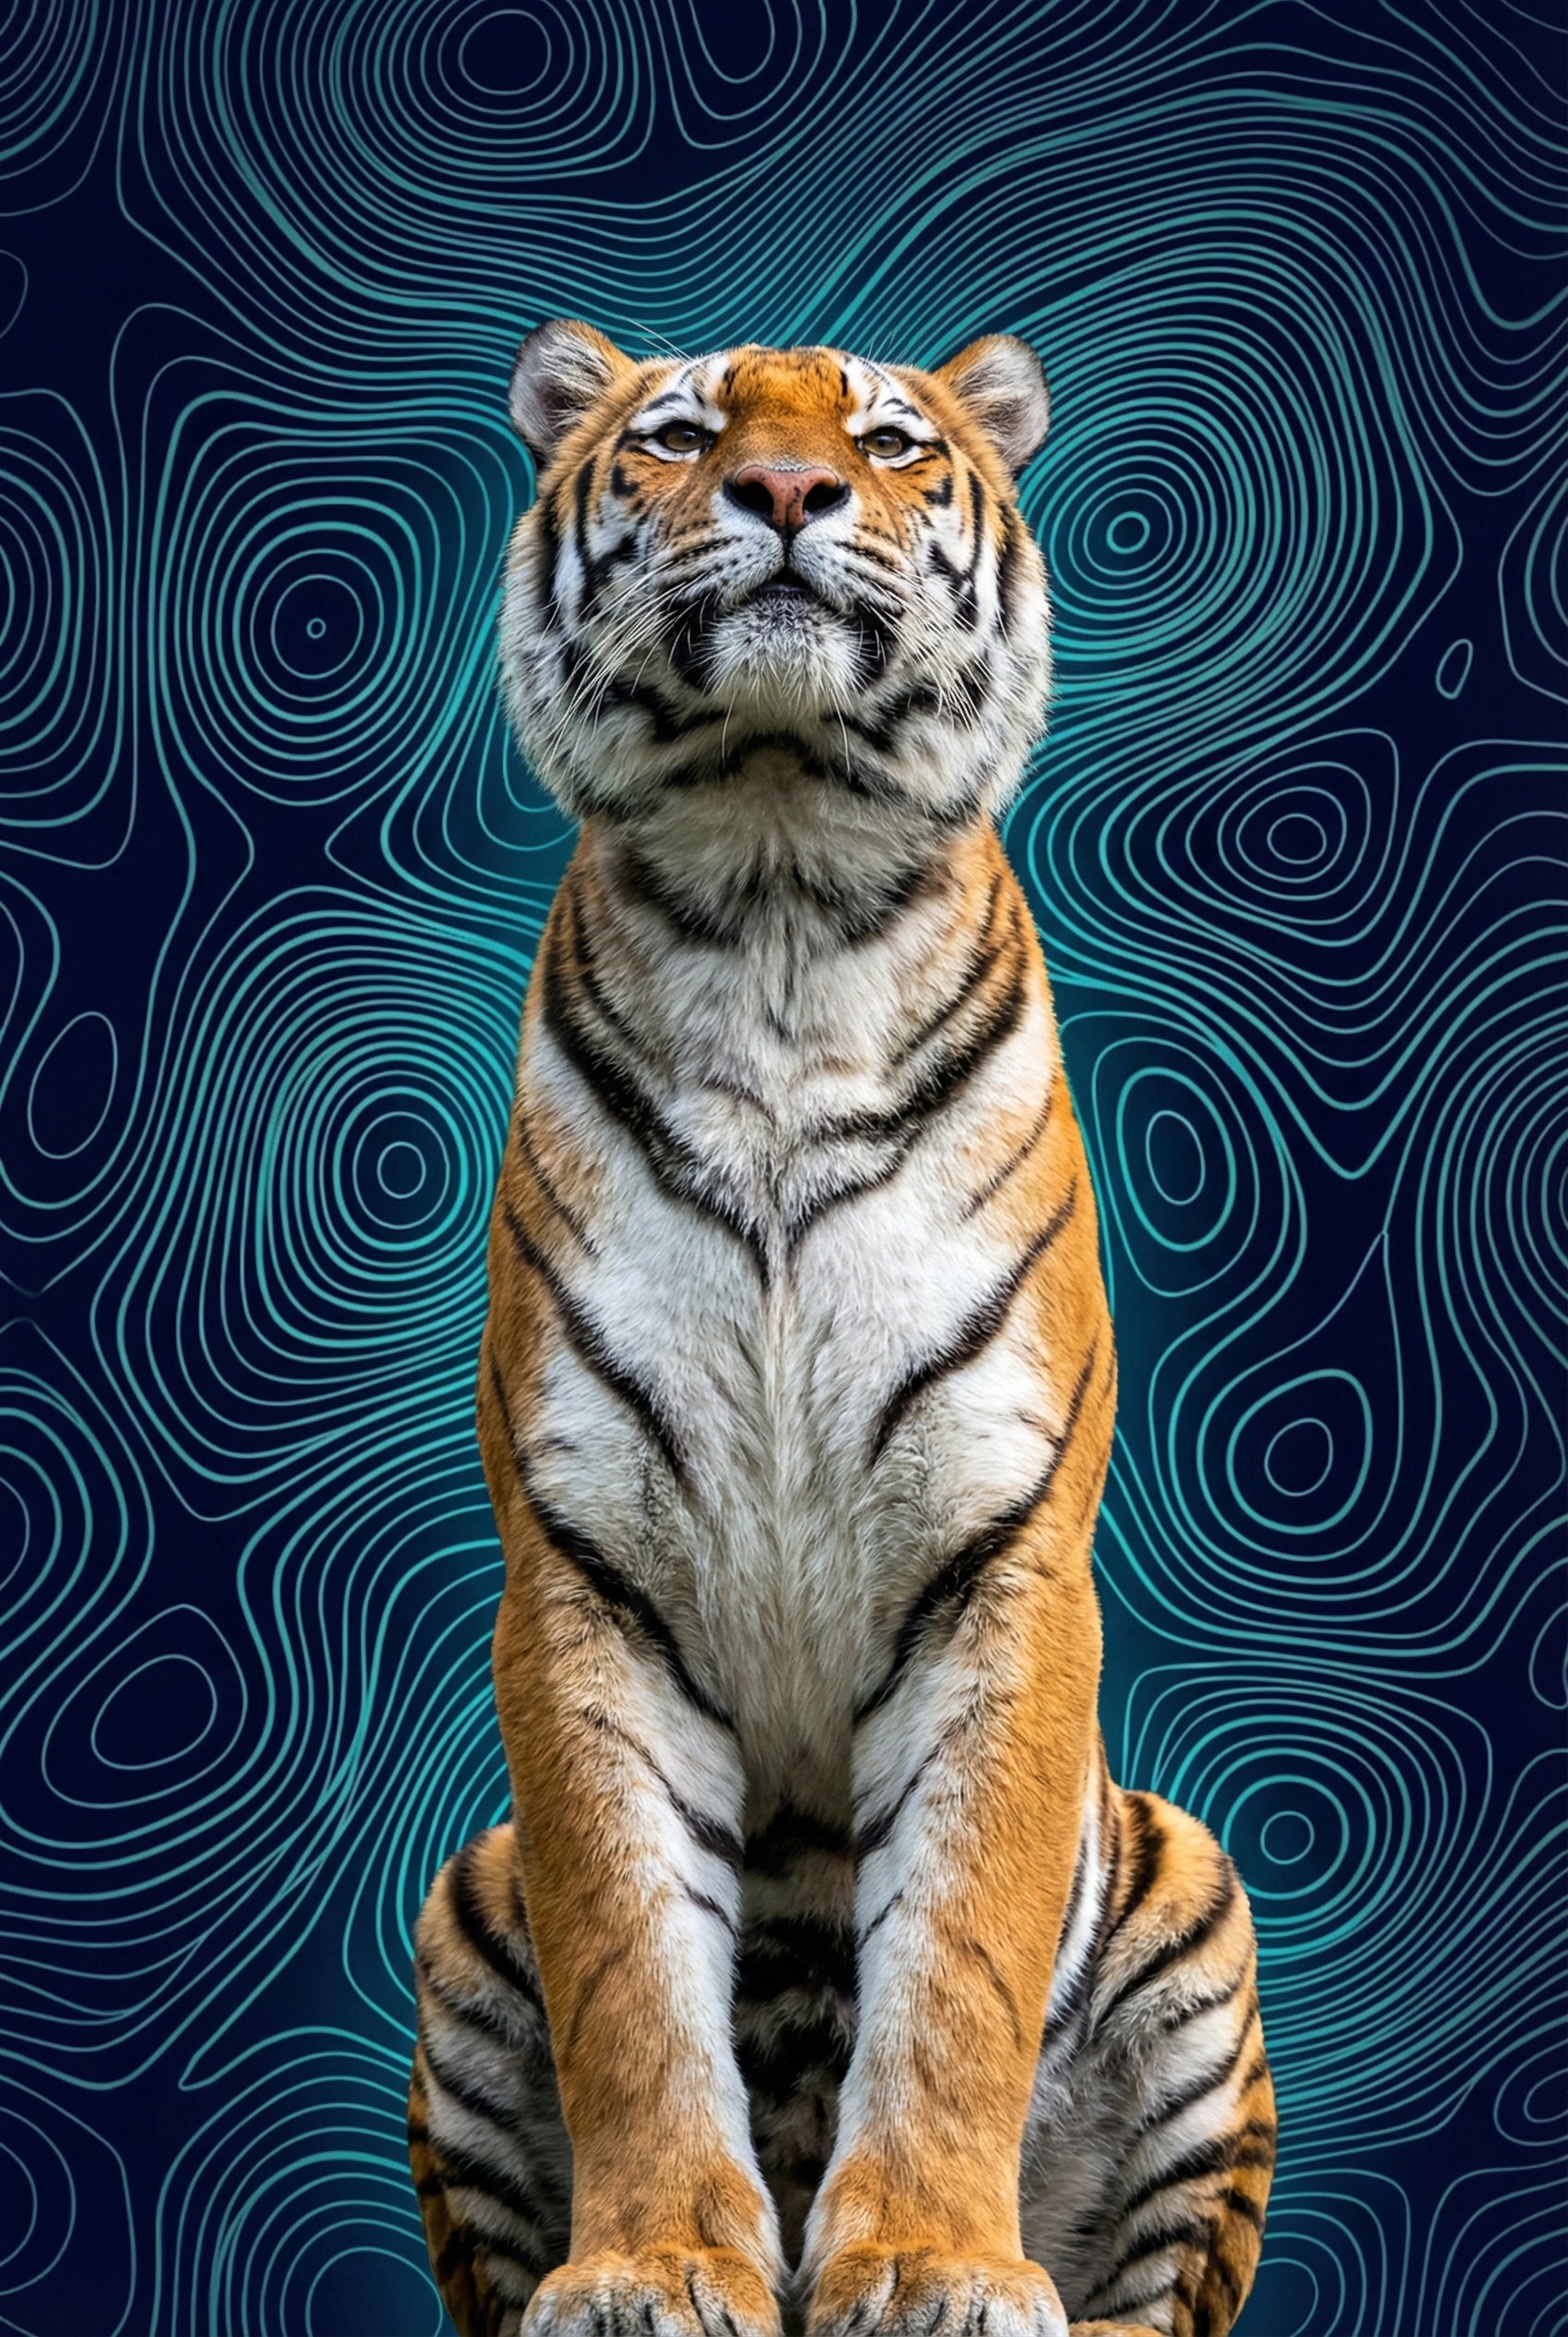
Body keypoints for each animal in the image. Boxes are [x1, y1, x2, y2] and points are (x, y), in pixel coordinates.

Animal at [407, 320, 1276, 2337]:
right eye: (676, 432)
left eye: (886, 442)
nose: (791, 489)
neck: (779, 879)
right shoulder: (581, 1563)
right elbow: (630, 1968)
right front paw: (648, 2266)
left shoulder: (999, 1547)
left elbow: (955, 1952)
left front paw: (933, 2263)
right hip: (461, 1905)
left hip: (1193, 1901)